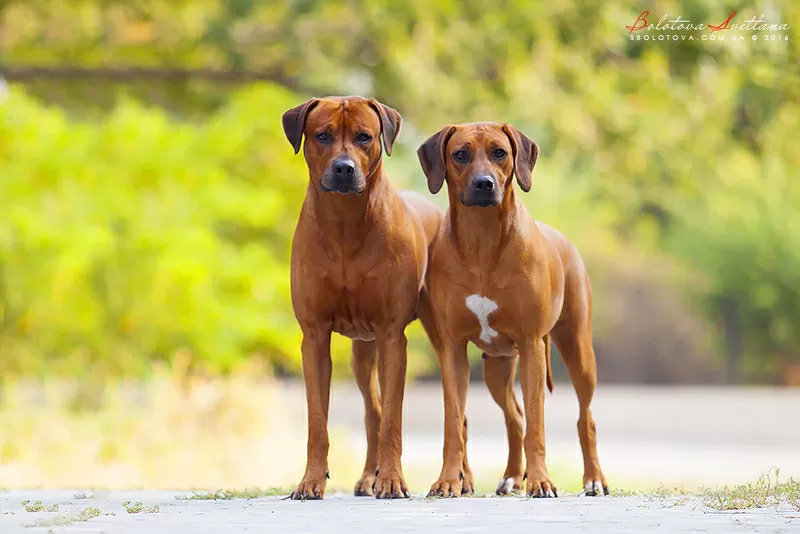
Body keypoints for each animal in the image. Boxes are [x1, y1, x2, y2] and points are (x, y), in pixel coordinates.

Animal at [282, 96, 444, 502]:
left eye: (364, 137)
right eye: (322, 135)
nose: (344, 168)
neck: (345, 224)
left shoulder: (391, 336)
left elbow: (393, 420)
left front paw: (393, 480)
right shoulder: (314, 336)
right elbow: (318, 421)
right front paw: (311, 480)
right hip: (362, 353)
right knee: (373, 410)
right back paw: (369, 476)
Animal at [416, 123, 608, 500]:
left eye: (499, 152)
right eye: (460, 154)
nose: (484, 184)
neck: (482, 240)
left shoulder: (532, 343)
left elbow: (537, 423)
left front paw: (541, 481)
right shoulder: (452, 349)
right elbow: (454, 422)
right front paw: (447, 481)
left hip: (578, 350)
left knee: (586, 417)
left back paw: (594, 479)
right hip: (497, 365)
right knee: (514, 417)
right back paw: (512, 477)